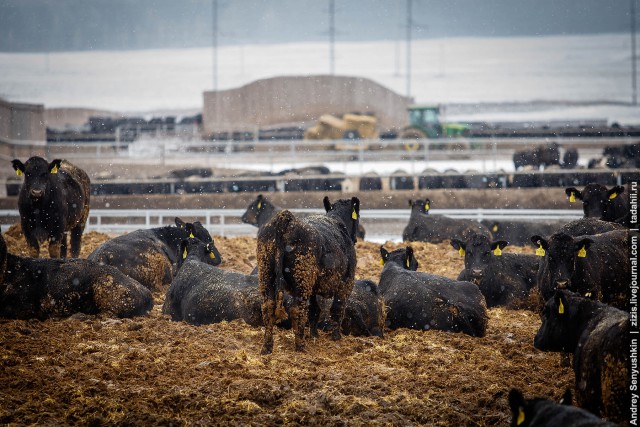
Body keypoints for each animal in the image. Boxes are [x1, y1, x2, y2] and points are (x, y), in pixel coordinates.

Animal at [258, 197, 360, 354]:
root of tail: (287, 218)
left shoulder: (314, 288)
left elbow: (315, 310)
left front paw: (314, 335)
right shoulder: (346, 283)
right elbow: (337, 309)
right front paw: (336, 337)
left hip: (266, 276)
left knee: (268, 307)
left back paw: (267, 348)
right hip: (302, 281)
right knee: (297, 310)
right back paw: (300, 346)